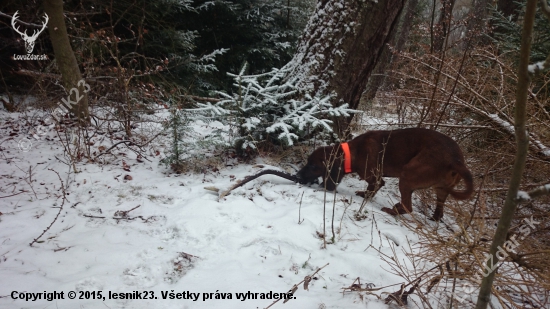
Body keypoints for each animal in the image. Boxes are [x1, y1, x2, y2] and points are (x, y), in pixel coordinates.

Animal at [298, 127, 474, 219]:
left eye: (313, 165)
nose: (297, 176)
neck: (353, 151)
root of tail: (456, 159)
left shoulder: (375, 179)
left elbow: (372, 189)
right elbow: (369, 191)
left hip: (407, 175)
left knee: (408, 206)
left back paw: (392, 211)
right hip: (441, 190)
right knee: (439, 212)